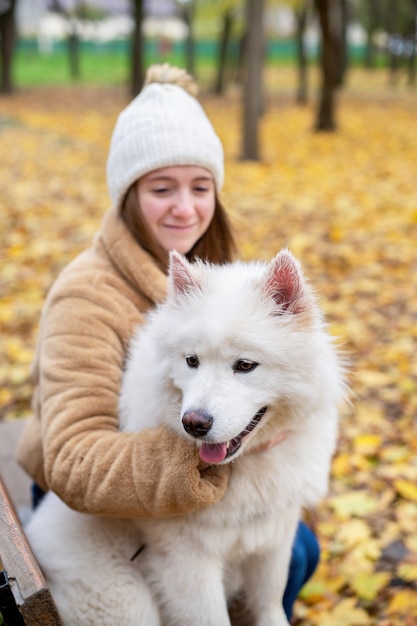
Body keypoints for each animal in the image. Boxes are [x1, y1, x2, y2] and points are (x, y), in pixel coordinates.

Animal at [24, 250, 346, 624]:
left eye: (245, 365)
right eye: (192, 360)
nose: (194, 423)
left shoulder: (272, 544)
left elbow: (270, 605)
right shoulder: (188, 563)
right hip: (129, 602)